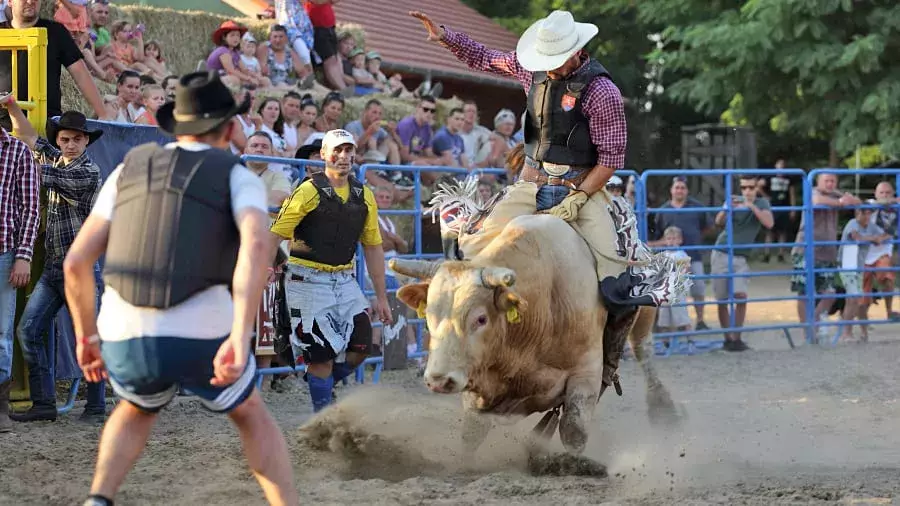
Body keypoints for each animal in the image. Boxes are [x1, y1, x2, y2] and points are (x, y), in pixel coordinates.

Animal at [390, 211, 680, 456]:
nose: (439, 380)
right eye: (429, 315)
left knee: (643, 350)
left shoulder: (585, 374)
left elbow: (573, 431)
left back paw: (664, 408)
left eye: (481, 318)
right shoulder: (477, 377)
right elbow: (472, 433)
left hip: (643, 316)